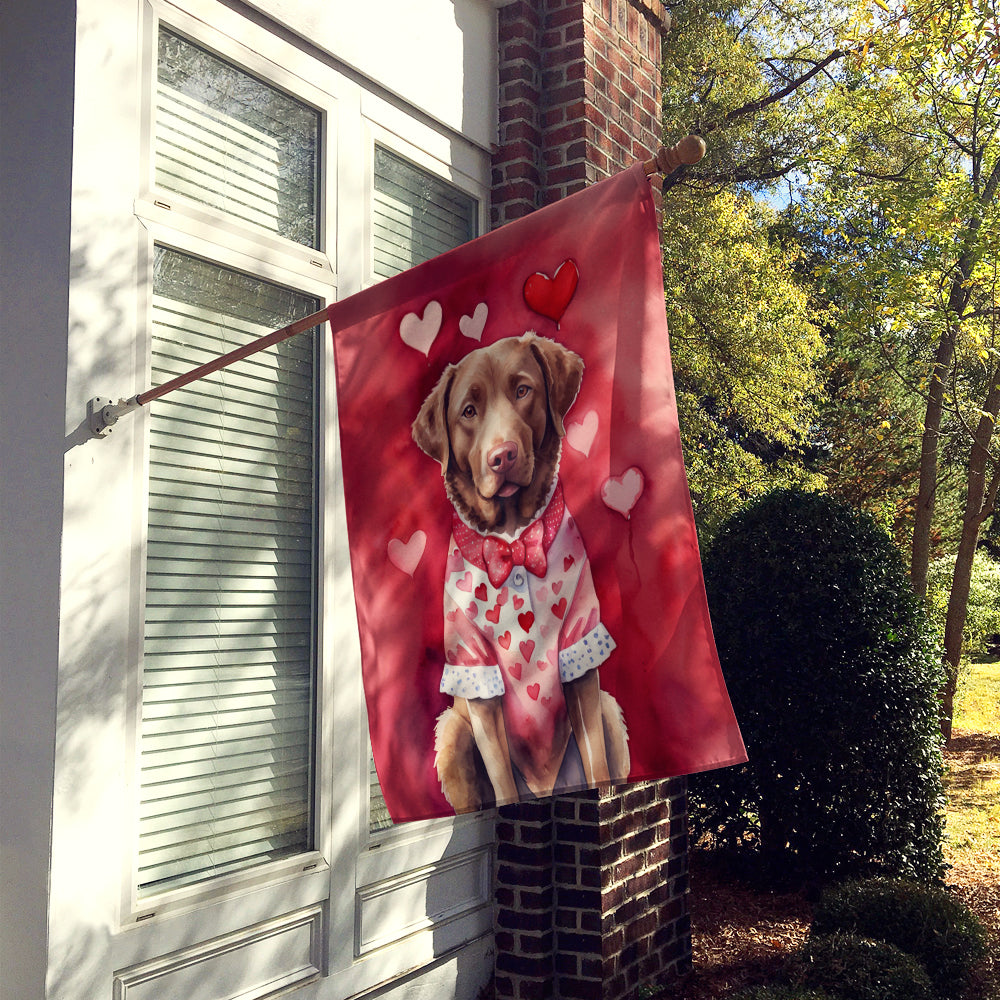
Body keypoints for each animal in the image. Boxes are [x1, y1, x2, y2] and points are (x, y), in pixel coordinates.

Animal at [410, 332, 628, 808]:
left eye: (523, 390)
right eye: (468, 411)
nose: (502, 456)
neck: (512, 542)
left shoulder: (579, 648)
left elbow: (597, 764)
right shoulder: (476, 671)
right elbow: (503, 785)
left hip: (609, 709)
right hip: (452, 732)